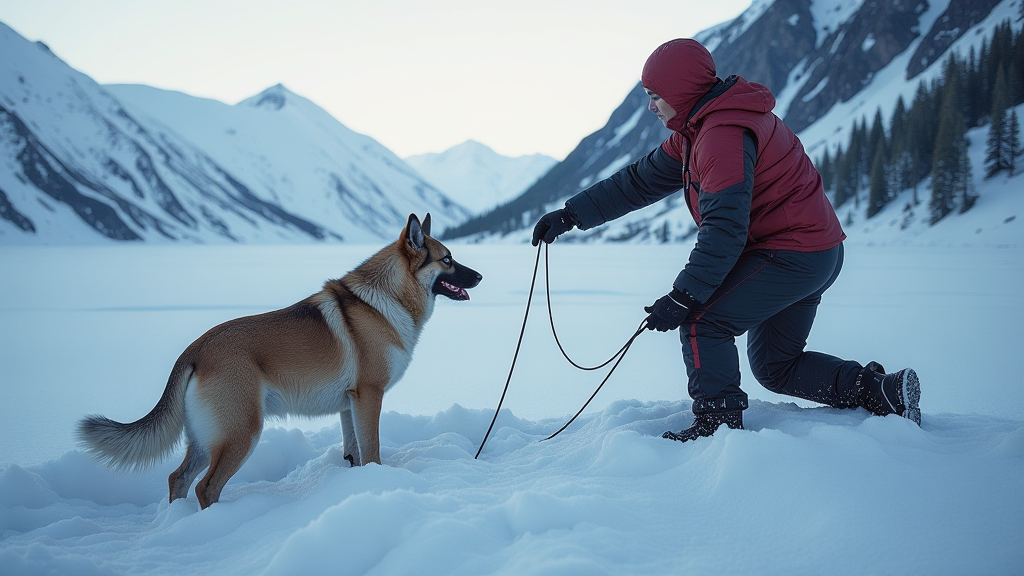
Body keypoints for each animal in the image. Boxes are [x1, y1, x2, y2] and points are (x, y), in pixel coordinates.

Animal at [76, 213, 483, 504]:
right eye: (448, 260)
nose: (480, 276)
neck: (386, 300)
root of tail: (195, 349)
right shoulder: (369, 395)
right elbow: (372, 451)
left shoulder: (348, 404)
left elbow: (353, 452)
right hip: (242, 433)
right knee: (206, 487)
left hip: (206, 438)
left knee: (179, 478)